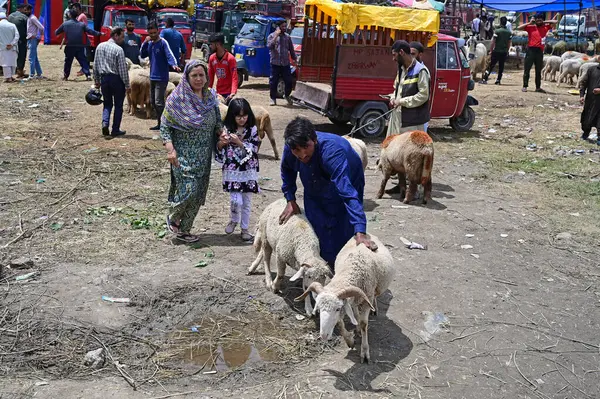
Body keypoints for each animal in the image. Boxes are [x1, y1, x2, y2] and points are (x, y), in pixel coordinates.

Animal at [294, 233, 396, 364]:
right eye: (319, 309)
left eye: (337, 309)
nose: (323, 336)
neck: (351, 269)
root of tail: (368, 234)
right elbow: (340, 323)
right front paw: (350, 341)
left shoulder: (366, 297)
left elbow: (364, 324)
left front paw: (365, 352)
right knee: (355, 311)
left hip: (374, 289)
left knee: (374, 298)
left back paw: (374, 309)